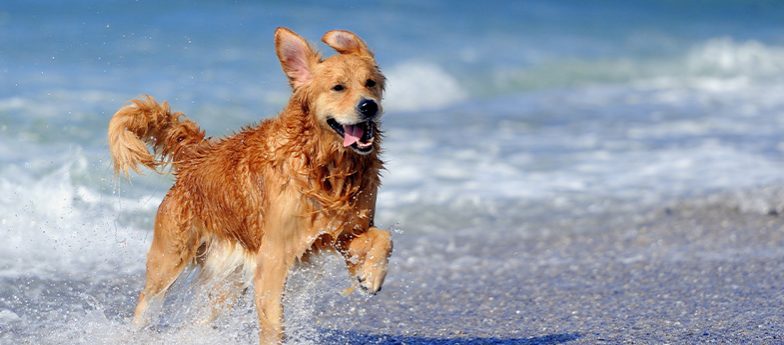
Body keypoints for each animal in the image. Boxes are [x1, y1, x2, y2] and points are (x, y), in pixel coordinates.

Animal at [105, 27, 392, 344]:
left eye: (370, 83)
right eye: (338, 87)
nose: (369, 105)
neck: (325, 165)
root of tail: (196, 155)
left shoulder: (343, 232)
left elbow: (383, 237)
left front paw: (371, 276)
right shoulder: (274, 256)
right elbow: (273, 324)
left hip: (228, 280)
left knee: (206, 317)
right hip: (169, 259)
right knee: (147, 301)